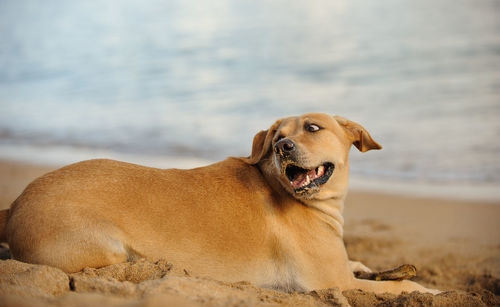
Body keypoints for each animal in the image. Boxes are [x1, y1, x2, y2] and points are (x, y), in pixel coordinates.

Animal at [0, 113, 438, 296]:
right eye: (276, 135)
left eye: (313, 127)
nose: (282, 146)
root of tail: (15, 203)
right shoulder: (334, 283)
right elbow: (402, 286)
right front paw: (428, 290)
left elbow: (363, 265)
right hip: (105, 249)